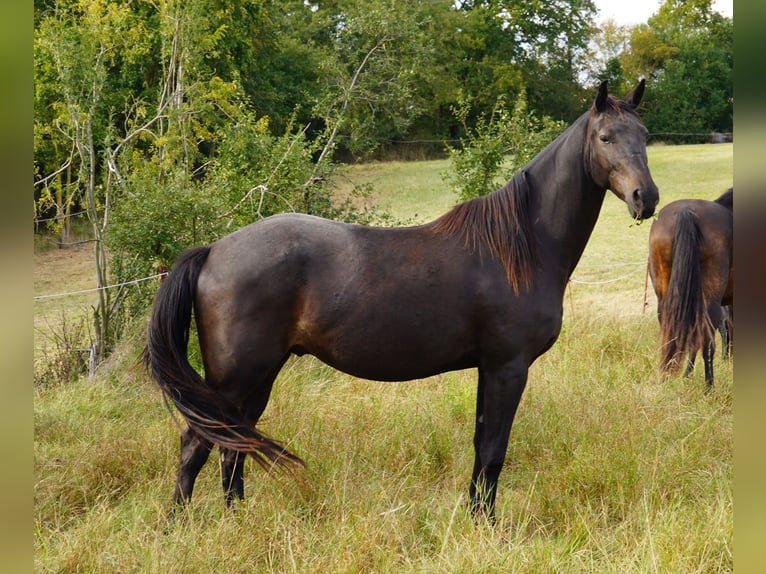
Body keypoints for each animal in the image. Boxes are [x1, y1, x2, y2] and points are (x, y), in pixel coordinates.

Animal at [146, 79, 660, 520]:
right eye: (606, 137)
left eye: (644, 135)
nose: (646, 197)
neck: (521, 246)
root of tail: (213, 250)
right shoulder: (507, 367)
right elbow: (494, 450)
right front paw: (488, 526)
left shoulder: (488, 368)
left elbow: (481, 447)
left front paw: (476, 518)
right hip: (237, 377)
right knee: (197, 443)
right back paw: (178, 526)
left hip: (258, 376)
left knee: (233, 444)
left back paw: (236, 519)